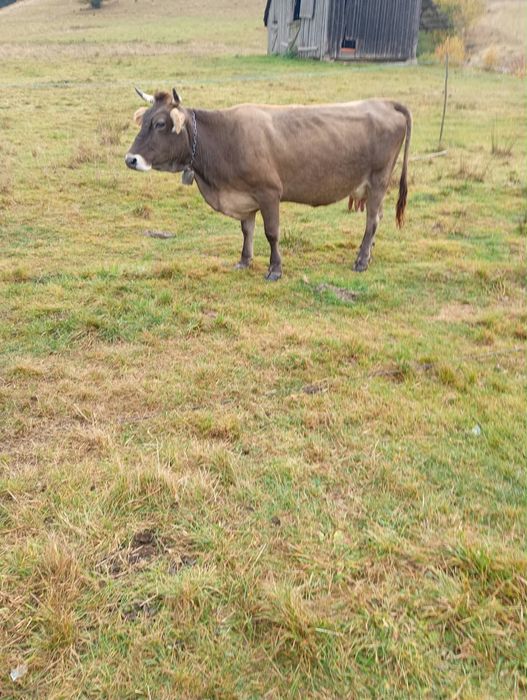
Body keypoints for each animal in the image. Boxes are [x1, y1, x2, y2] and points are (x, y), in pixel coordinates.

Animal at [125, 87, 412, 280]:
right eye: (143, 120)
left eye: (160, 123)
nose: (130, 159)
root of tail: (385, 102)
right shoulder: (243, 196)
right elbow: (247, 230)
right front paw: (244, 260)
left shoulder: (269, 193)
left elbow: (271, 233)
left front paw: (275, 269)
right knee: (378, 217)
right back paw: (369, 252)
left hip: (379, 179)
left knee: (372, 220)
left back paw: (361, 260)